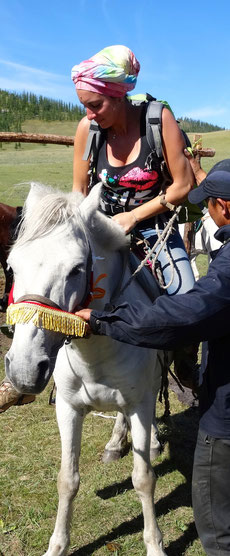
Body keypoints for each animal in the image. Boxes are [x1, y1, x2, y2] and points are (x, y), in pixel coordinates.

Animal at [5, 185, 166, 556]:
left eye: (77, 269)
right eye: (12, 266)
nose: (23, 369)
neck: (97, 350)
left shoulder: (139, 405)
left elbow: (143, 479)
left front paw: (155, 545)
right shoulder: (68, 408)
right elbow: (68, 479)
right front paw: (57, 546)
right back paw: (114, 444)